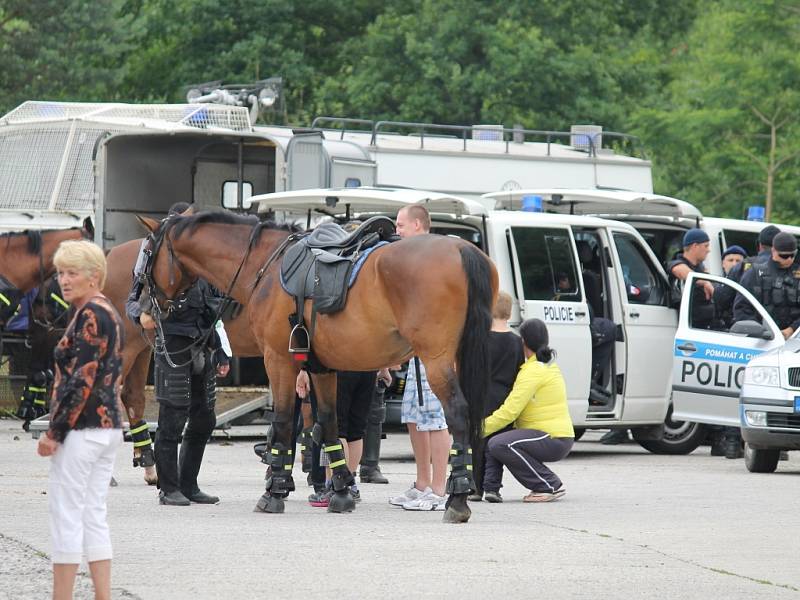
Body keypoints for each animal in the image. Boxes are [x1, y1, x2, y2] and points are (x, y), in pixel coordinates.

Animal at [141, 213, 496, 524]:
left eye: (146, 254)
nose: (144, 308)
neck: (266, 264)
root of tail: (461, 248)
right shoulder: (323, 369)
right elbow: (328, 423)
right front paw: (340, 493)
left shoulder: (278, 361)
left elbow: (283, 424)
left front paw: (274, 492)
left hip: (437, 361)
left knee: (458, 415)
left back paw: (457, 499)